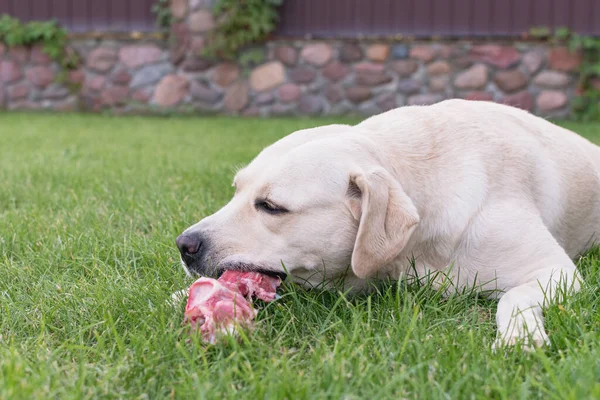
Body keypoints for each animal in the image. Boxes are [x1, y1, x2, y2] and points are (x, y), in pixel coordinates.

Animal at [176, 99, 600, 346]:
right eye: (235, 191)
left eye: (271, 206)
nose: (184, 245)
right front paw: (184, 295)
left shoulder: (557, 272)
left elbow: (514, 296)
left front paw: (520, 337)